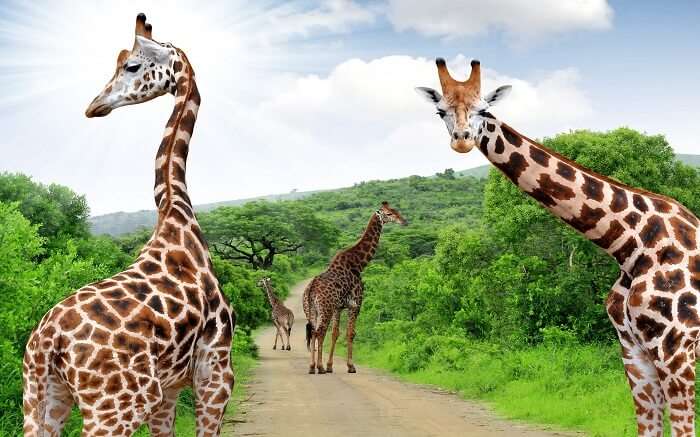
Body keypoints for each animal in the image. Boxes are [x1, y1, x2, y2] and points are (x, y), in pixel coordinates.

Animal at [21, 13, 235, 436]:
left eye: (131, 66)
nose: (94, 106)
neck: (176, 212)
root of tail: (46, 342)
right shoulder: (216, 370)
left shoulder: (171, 389)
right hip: (117, 406)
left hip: (42, 396)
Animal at [304, 202, 408, 374]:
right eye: (388, 214)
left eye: (396, 210)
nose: (404, 221)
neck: (358, 264)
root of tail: (311, 288)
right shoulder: (355, 304)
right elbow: (351, 333)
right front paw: (350, 366)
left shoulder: (339, 307)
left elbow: (335, 333)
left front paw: (330, 366)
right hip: (325, 309)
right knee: (319, 332)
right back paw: (319, 367)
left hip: (311, 310)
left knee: (313, 332)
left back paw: (312, 367)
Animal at [416, 58, 700, 436]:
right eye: (440, 111)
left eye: (484, 109)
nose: (461, 140)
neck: (632, 245)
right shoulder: (634, 352)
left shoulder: (676, 350)